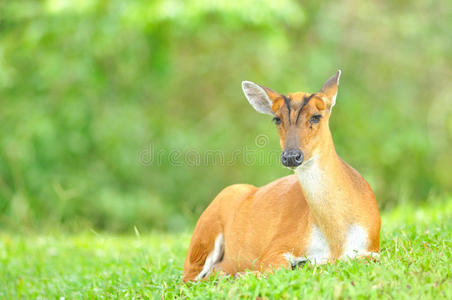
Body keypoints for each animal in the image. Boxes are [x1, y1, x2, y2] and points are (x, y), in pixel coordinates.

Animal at [182, 70, 380, 282]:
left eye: (316, 116)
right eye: (276, 119)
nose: (291, 156)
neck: (336, 239)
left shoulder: (372, 246)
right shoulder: (277, 245)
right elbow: (277, 267)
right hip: (204, 234)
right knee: (192, 277)